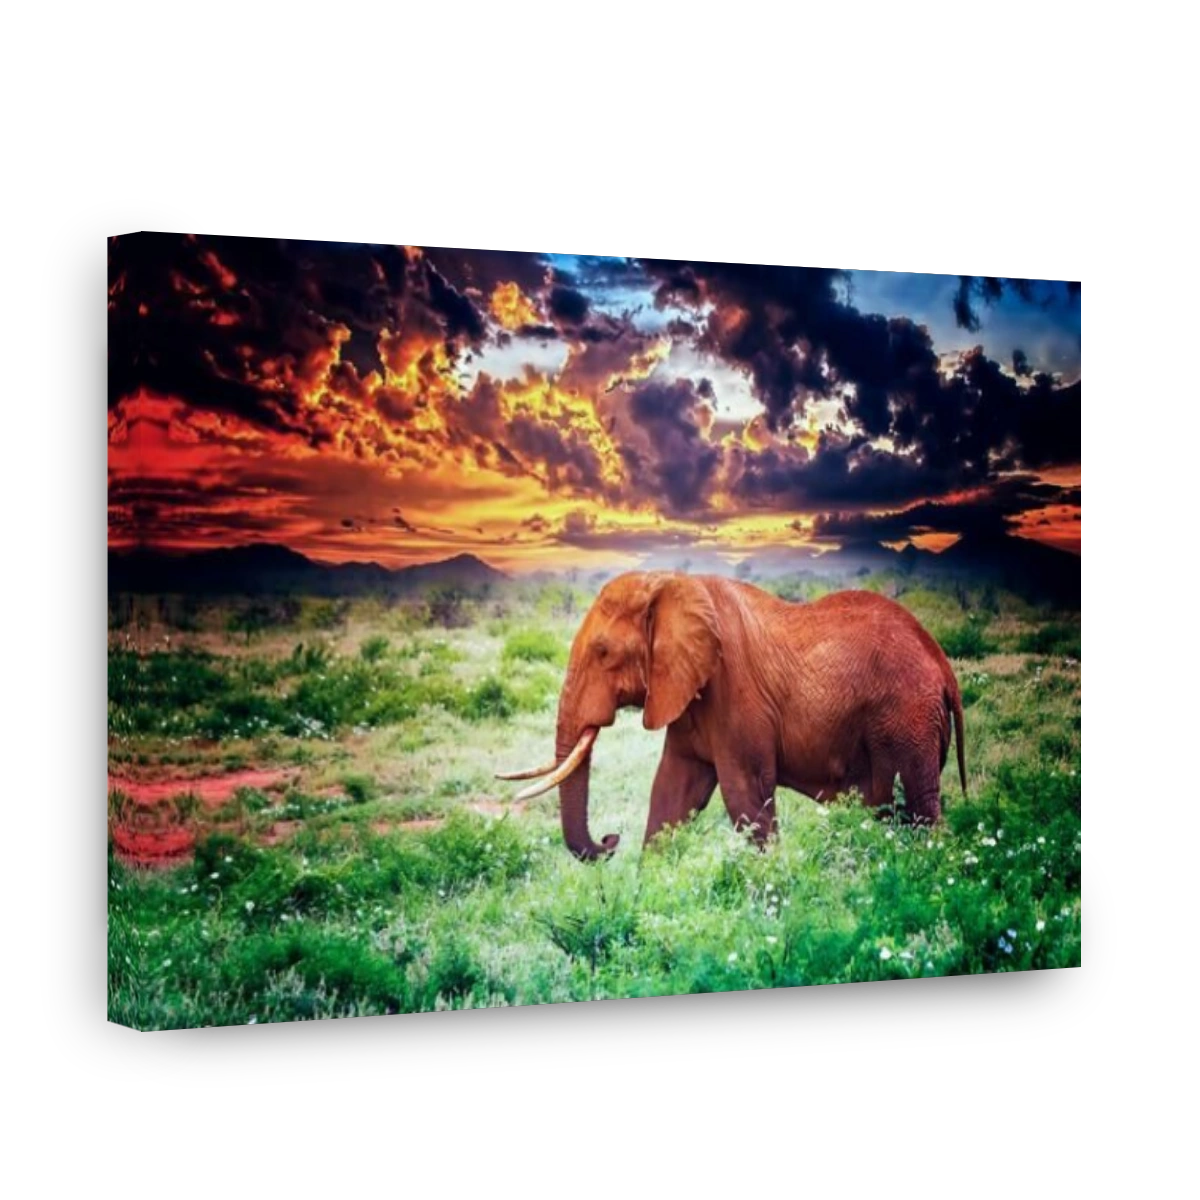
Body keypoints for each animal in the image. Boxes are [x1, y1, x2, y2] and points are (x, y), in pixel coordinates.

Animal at [497, 571, 968, 862]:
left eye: (602, 652)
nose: (610, 839)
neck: (668, 584)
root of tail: (942, 664)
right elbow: (672, 792)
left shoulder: (735, 692)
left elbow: (744, 795)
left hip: (909, 718)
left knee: (919, 805)